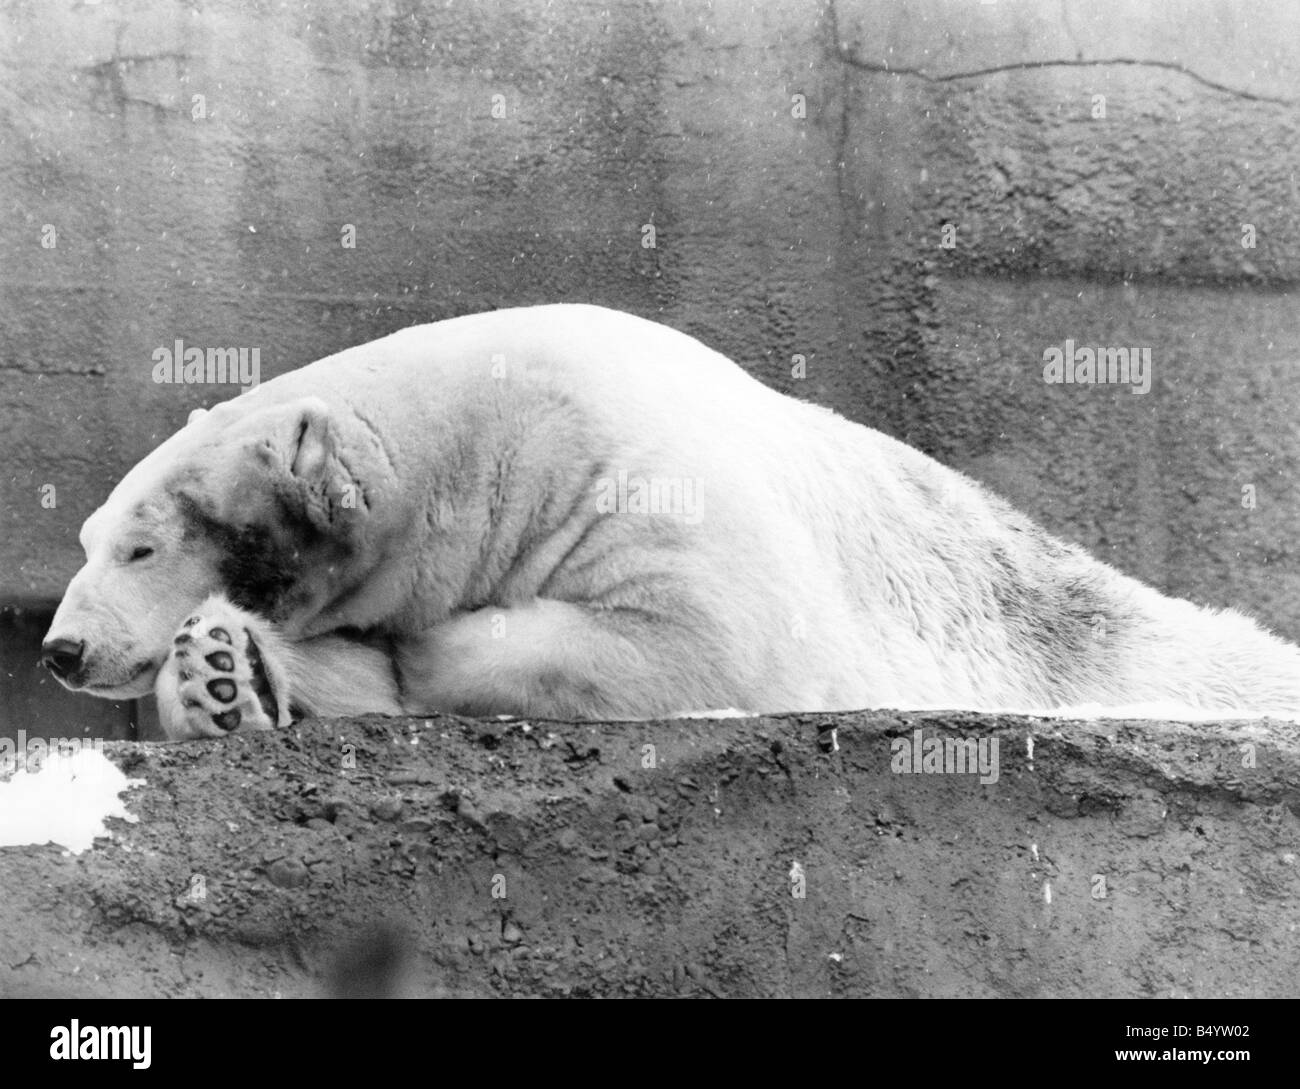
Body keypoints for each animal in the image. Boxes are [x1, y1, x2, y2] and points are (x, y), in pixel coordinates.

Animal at [40, 305, 1300, 743]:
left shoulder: (634, 472)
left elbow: (696, 637)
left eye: (140, 545)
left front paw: (420, 650)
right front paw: (221, 674)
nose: (60, 648)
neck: (484, 445)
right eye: (89, 539)